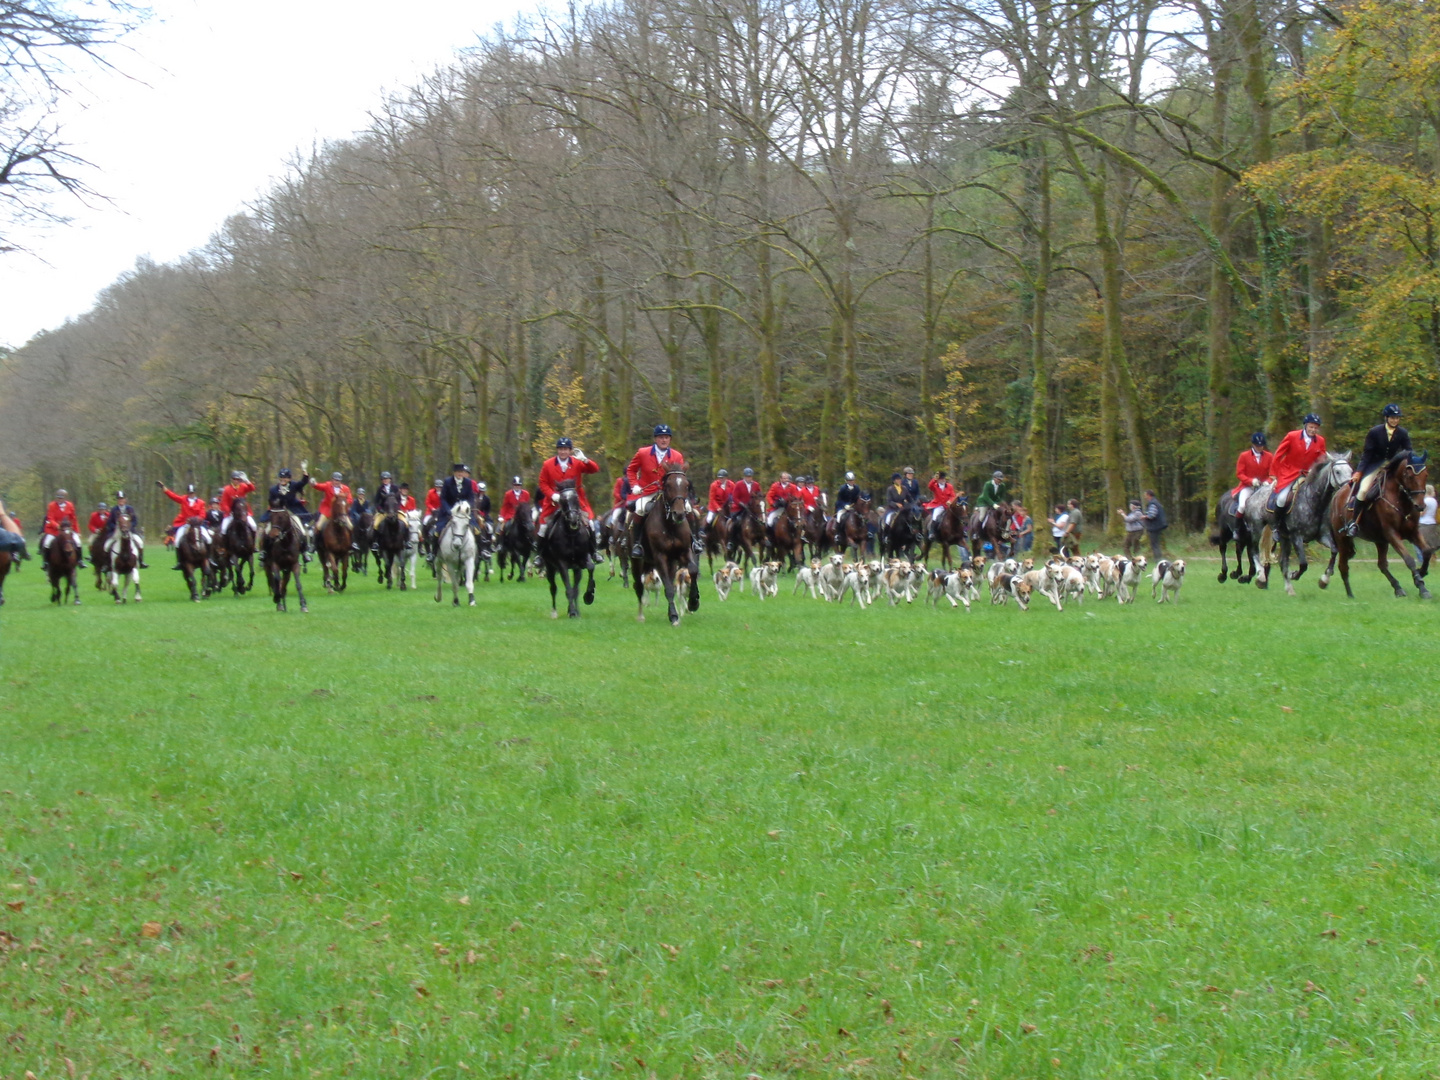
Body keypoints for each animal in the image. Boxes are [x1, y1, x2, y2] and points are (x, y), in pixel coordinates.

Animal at [541, 480, 596, 616]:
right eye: (562, 500)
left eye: (576, 498)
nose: (574, 520)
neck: (572, 534)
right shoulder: (562, 564)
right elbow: (568, 589)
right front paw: (572, 612)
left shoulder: (582, 560)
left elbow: (590, 568)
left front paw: (589, 596)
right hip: (550, 567)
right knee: (553, 588)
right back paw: (554, 612)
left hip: (576, 569)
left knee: (575, 588)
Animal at [633, 463, 699, 624]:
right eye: (668, 485)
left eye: (686, 485)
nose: (679, 514)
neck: (670, 525)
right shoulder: (660, 557)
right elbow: (668, 588)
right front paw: (674, 616)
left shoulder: (684, 552)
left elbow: (693, 570)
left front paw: (693, 602)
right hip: (637, 562)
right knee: (638, 586)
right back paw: (641, 615)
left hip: (671, 563)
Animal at [1319, 449, 1434, 601]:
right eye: (1408, 475)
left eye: (1425, 475)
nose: (1420, 506)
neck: (1400, 500)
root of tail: (1337, 495)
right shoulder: (1392, 534)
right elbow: (1409, 559)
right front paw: (1422, 587)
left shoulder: (1412, 532)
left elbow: (1427, 551)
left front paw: (1421, 574)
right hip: (1343, 539)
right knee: (1343, 566)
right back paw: (1350, 595)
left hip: (1379, 540)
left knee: (1382, 564)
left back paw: (1398, 588)